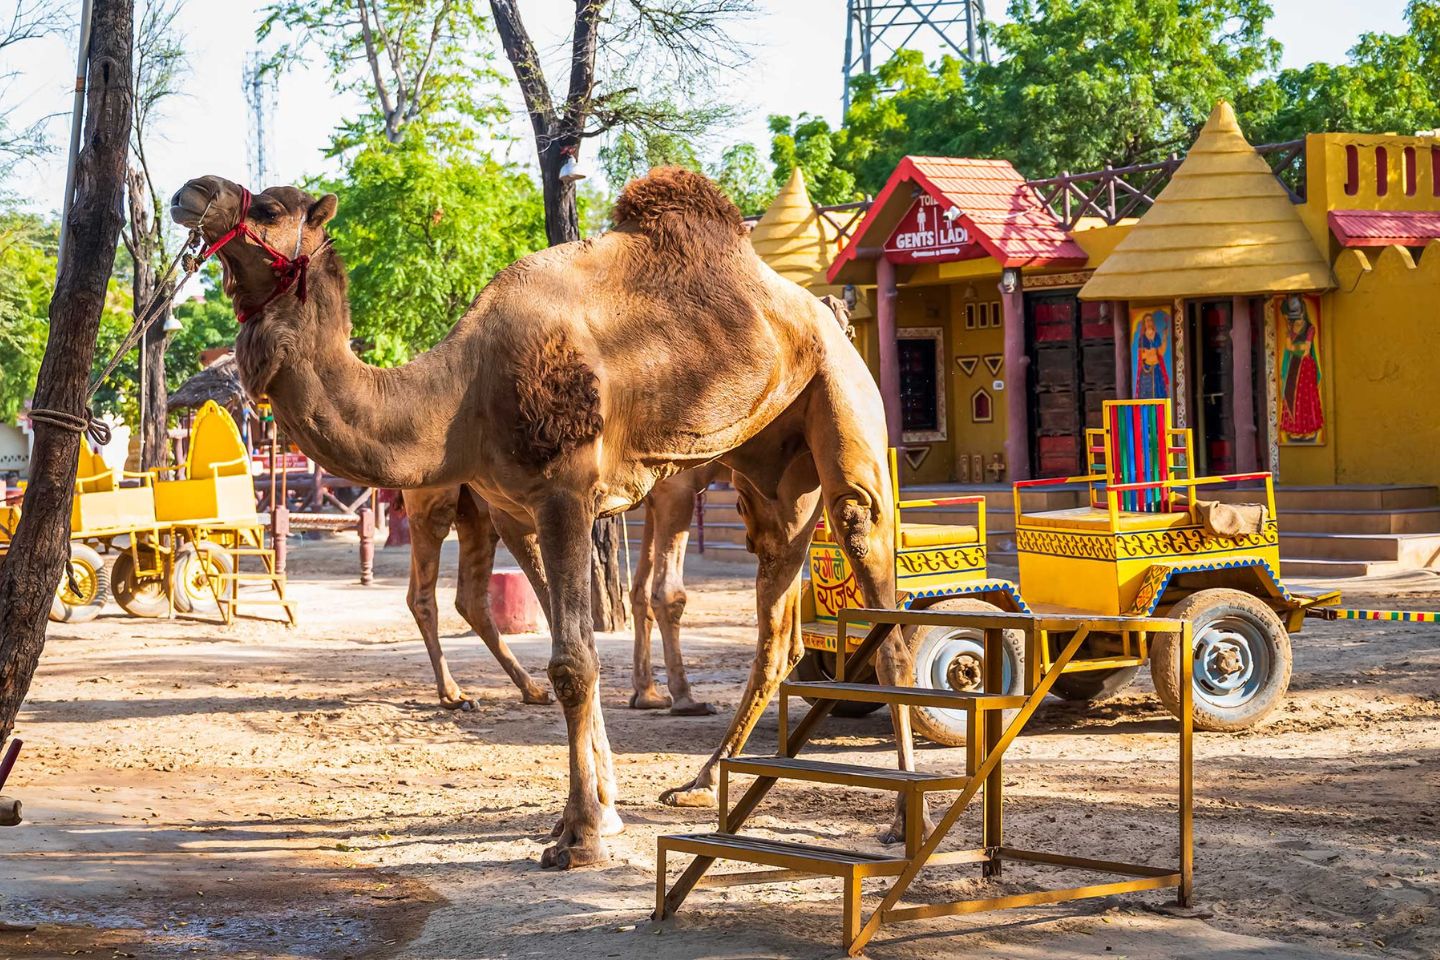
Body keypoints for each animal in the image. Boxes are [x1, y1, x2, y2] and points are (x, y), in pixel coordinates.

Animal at [170, 168, 913, 870]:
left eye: (270, 208)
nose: (189, 193)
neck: (460, 393)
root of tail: (830, 314)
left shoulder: (566, 492)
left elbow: (573, 662)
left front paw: (581, 838)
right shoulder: (520, 505)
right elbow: (572, 644)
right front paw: (598, 816)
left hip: (842, 395)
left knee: (875, 577)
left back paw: (899, 822)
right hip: (770, 475)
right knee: (778, 631)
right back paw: (702, 784)